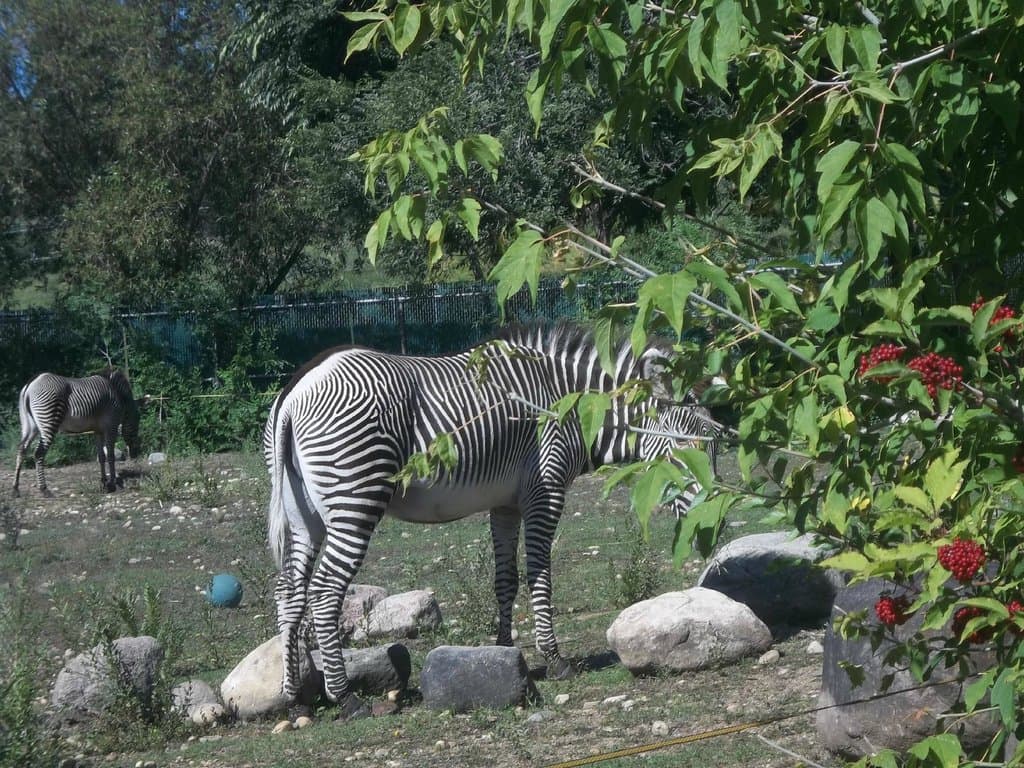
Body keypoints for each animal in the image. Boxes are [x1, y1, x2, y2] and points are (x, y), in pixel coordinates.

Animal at [13, 369, 142, 497]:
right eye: (137, 421)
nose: (135, 454)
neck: (118, 394)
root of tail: (31, 383)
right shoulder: (111, 427)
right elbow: (110, 456)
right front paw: (112, 483)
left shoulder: (98, 431)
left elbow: (101, 456)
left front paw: (104, 482)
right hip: (48, 420)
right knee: (39, 453)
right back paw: (44, 489)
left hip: (30, 426)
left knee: (21, 449)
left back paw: (15, 489)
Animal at [265, 324, 720, 718]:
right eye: (684, 448)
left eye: (713, 450)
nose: (710, 526)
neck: (572, 408)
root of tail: (298, 389)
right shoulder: (545, 490)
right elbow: (539, 574)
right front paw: (554, 659)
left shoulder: (505, 504)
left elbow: (506, 579)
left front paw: (505, 652)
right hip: (355, 497)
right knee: (325, 592)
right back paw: (346, 699)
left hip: (304, 515)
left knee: (289, 593)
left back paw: (295, 699)